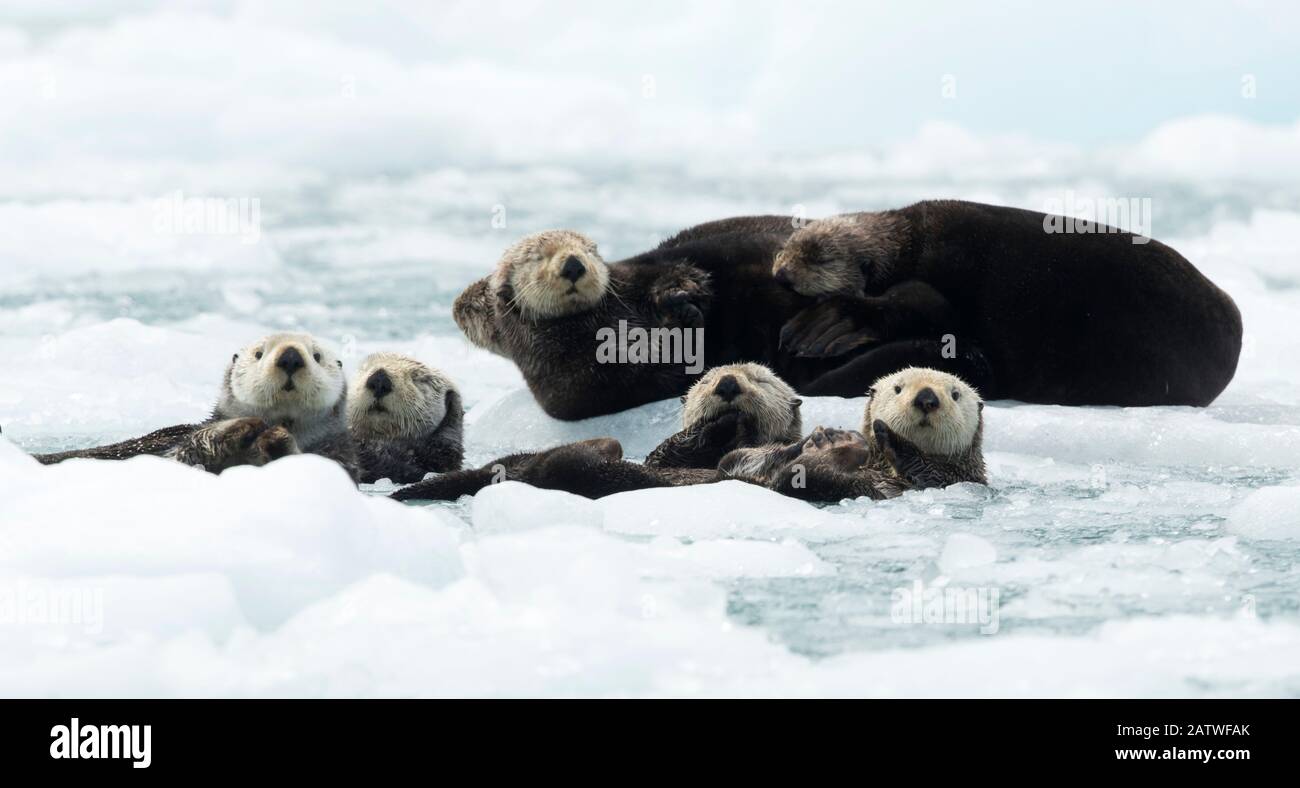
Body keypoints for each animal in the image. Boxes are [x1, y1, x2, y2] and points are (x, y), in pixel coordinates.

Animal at [35, 332, 361, 481]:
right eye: (259, 353)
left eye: (316, 356)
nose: (290, 357)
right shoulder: (183, 446)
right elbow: (188, 450)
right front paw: (242, 427)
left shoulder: (339, 457)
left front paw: (277, 438)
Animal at [769, 200, 1237, 405]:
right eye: (788, 246)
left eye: (818, 257)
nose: (781, 273)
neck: (909, 242)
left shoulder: (937, 275)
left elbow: (917, 307)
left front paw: (820, 326)